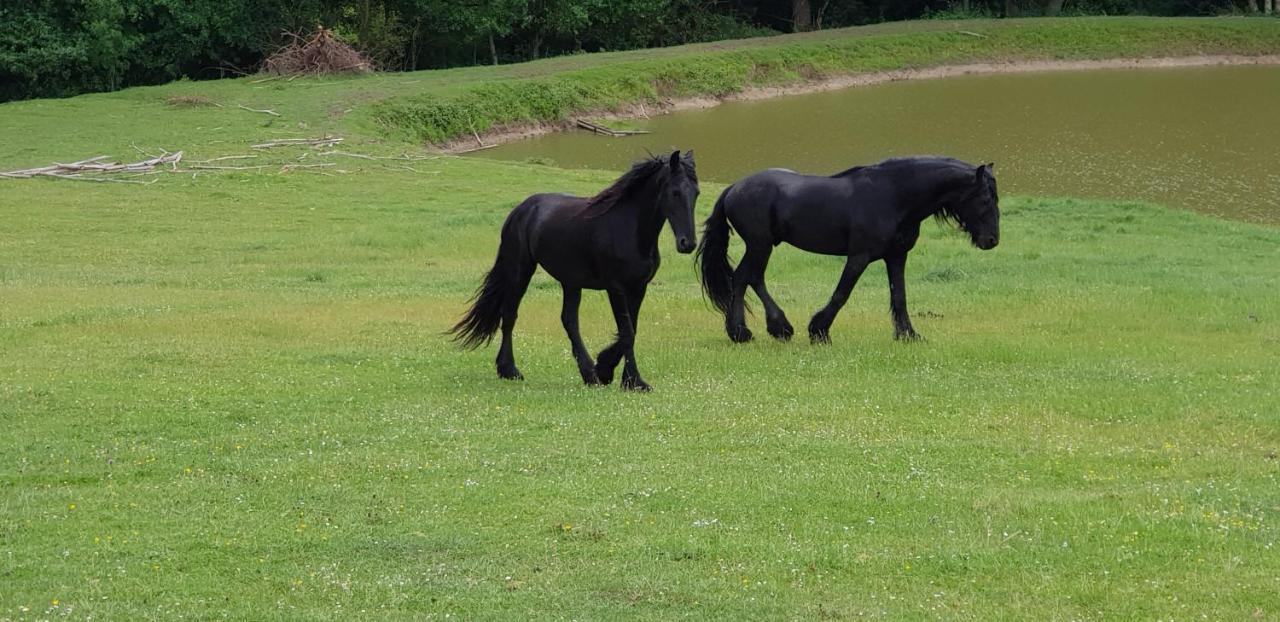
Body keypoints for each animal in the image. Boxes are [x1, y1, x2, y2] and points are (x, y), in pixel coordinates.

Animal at [445, 151, 696, 389]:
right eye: (675, 192)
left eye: (696, 193)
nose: (688, 243)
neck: (630, 229)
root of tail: (521, 210)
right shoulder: (616, 288)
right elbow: (627, 332)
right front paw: (633, 381)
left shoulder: (638, 287)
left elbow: (631, 329)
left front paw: (607, 370)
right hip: (521, 270)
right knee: (510, 315)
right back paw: (510, 370)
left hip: (571, 281)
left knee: (569, 320)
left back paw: (588, 374)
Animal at [701, 158, 998, 345]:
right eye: (984, 199)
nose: (992, 240)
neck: (892, 196)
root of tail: (733, 188)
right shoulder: (859, 257)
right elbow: (842, 293)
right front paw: (819, 330)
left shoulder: (896, 256)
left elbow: (899, 296)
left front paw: (908, 335)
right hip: (759, 245)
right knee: (744, 278)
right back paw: (751, 332)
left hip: (761, 246)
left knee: (751, 278)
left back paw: (770, 329)